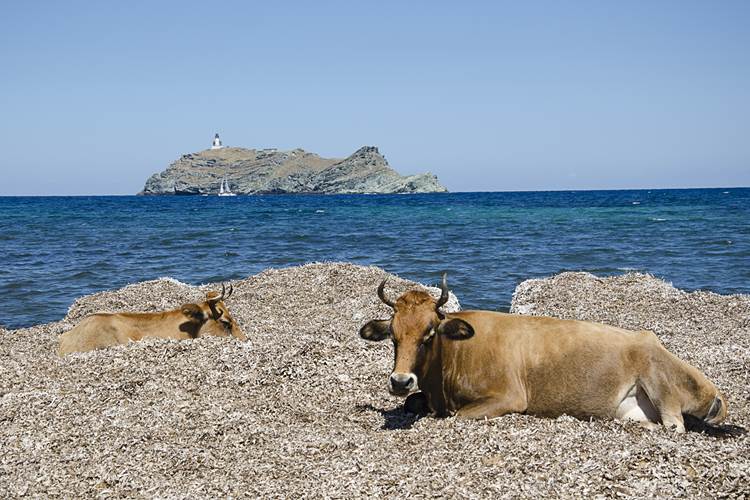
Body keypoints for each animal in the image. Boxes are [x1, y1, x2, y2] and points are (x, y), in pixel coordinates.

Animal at [359, 275, 727, 433]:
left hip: (659, 382)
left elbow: (458, 417)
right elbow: (412, 403)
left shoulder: (509, 396)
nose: (400, 380)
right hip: (631, 409)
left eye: (429, 333)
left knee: (674, 426)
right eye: (393, 336)